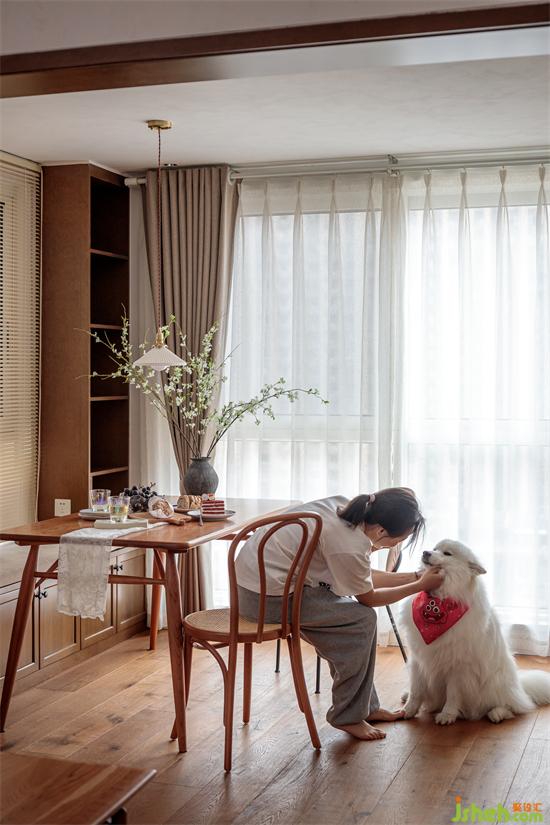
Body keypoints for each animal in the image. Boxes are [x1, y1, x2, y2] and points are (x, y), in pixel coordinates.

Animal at [400, 539, 550, 725]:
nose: (425, 552)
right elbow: (416, 690)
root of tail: (520, 686)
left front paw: (447, 715)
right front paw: (408, 710)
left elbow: (453, 694)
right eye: (435, 548)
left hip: (495, 683)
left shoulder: (459, 668)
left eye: (447, 553)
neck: (439, 602)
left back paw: (497, 713)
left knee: (513, 706)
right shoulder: (419, 659)